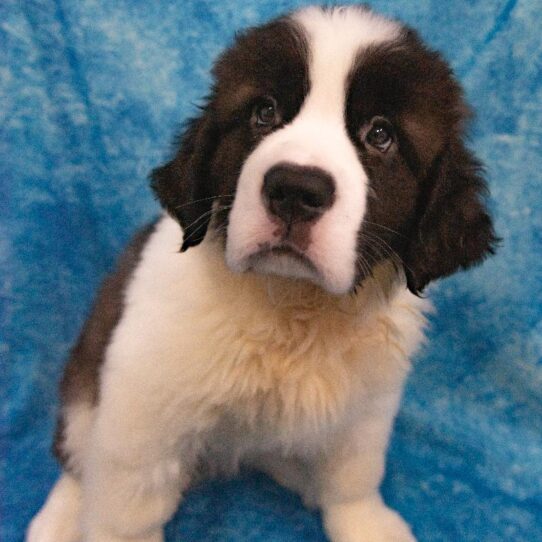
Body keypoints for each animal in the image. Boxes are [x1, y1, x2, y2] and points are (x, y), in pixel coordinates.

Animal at [27, 5, 500, 542]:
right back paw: (60, 518)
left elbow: (353, 475)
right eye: (264, 113)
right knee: (77, 457)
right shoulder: (142, 407)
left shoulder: (366, 406)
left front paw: (366, 523)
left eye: (380, 135)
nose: (295, 189)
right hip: (84, 381)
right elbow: (125, 511)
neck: (293, 306)